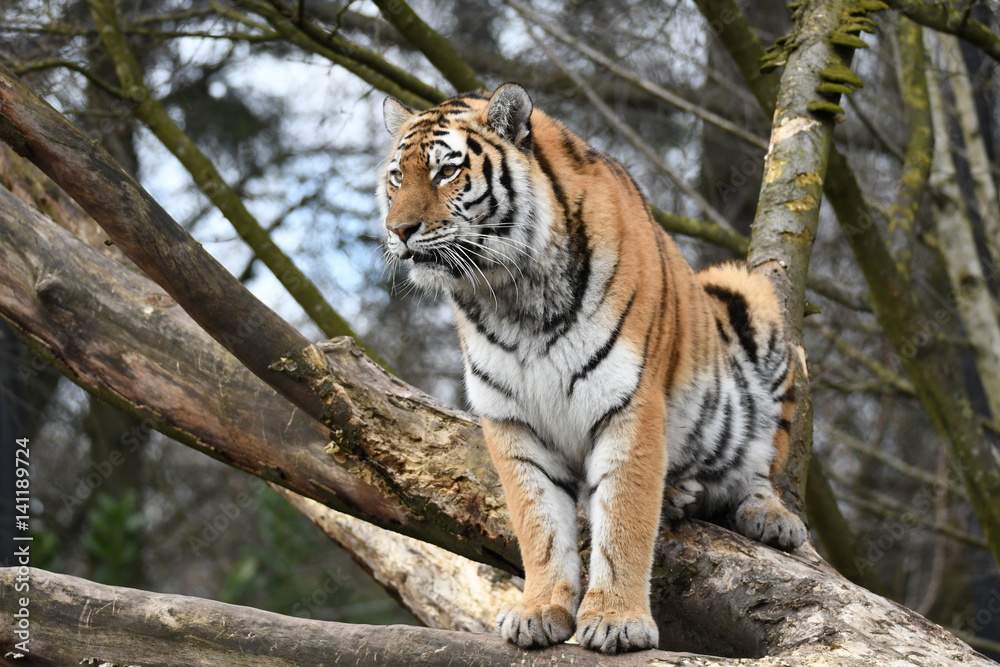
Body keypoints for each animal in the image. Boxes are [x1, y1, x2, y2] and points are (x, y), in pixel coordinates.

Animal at [377, 83, 808, 654]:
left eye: (446, 171)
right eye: (396, 177)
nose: (398, 230)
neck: (511, 297)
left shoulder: (628, 405)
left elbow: (624, 520)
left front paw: (616, 621)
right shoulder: (512, 420)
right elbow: (539, 524)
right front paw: (540, 610)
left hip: (746, 298)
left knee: (759, 465)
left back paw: (770, 518)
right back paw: (682, 494)